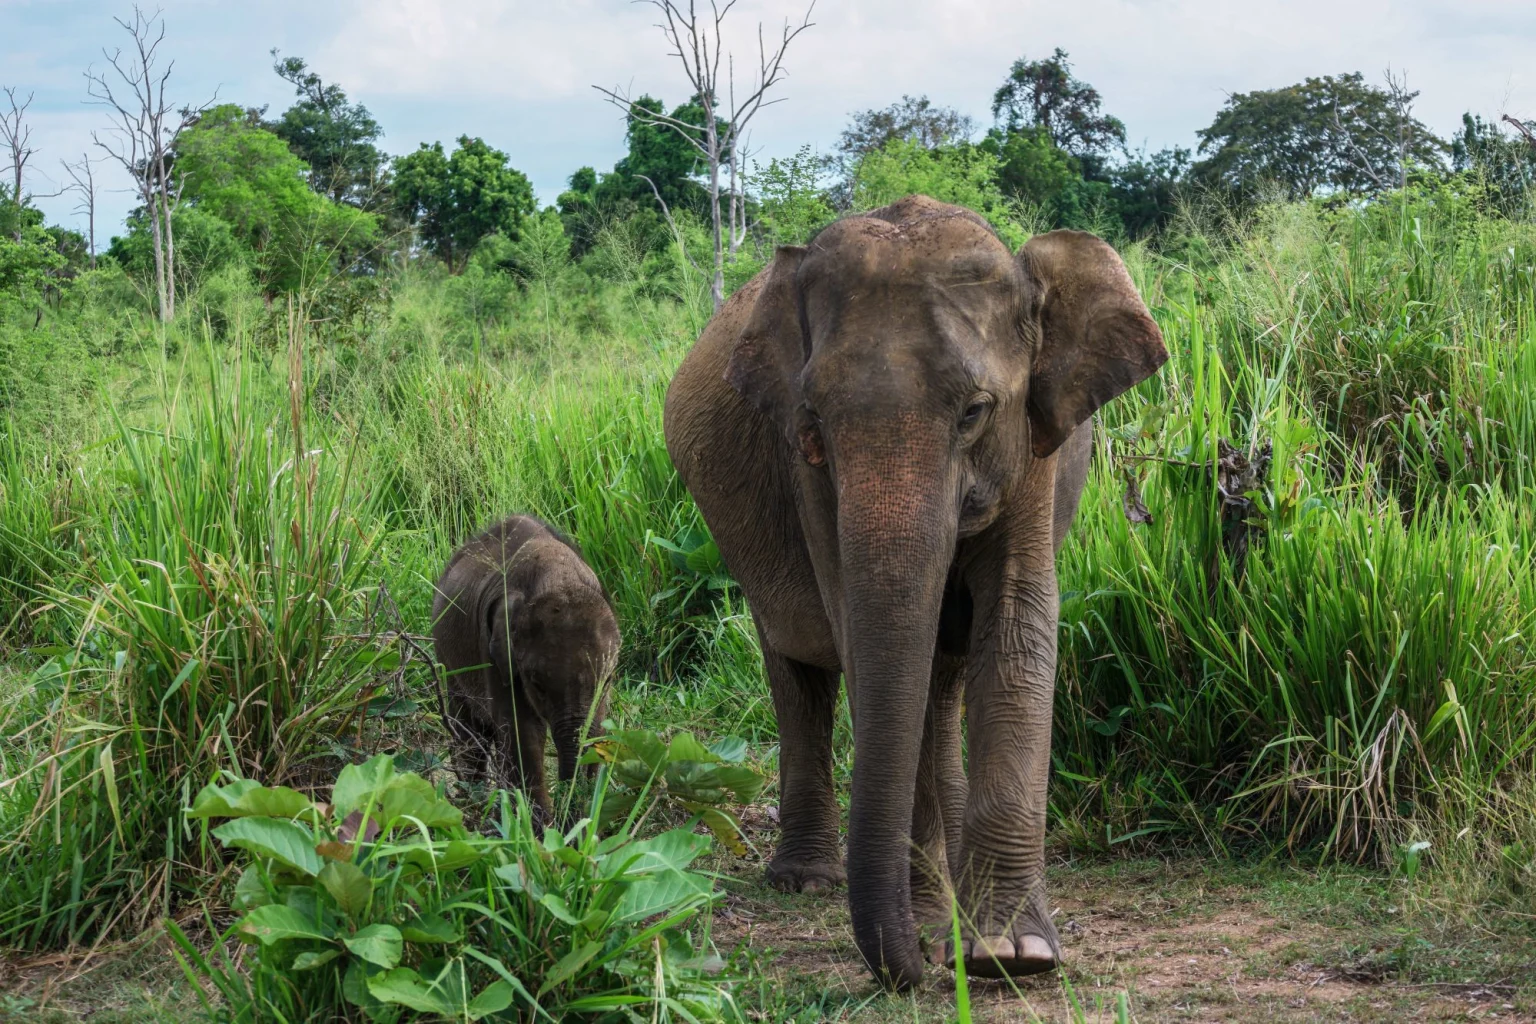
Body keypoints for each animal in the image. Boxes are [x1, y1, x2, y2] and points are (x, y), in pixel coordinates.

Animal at [432, 515, 619, 816]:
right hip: (446, 658)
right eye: (537, 684)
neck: (556, 573)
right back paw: (475, 805)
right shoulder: (493, 650)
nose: (569, 811)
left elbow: (596, 727)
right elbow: (523, 733)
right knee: (471, 733)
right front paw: (540, 826)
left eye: (609, 678)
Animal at [663, 196, 1167, 988]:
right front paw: (939, 935)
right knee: (798, 668)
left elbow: (1016, 629)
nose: (917, 971)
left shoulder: (1035, 447)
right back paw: (808, 880)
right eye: (813, 420)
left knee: (947, 671)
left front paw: (1012, 956)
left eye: (975, 411)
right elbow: (874, 646)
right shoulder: (806, 472)